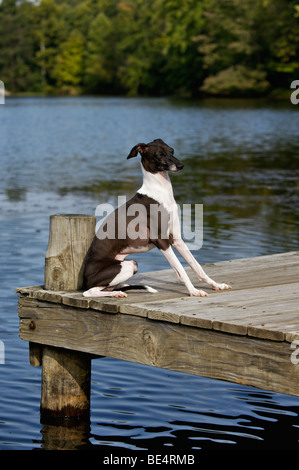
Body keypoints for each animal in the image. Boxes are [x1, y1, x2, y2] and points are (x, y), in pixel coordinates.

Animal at [82, 138, 232, 298]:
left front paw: (216, 284)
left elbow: (196, 265)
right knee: (89, 292)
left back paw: (122, 288)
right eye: (159, 154)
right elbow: (181, 270)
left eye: (172, 150)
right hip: (125, 266)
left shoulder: (176, 238)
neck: (159, 192)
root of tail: (84, 280)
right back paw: (116, 293)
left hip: (130, 264)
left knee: (108, 287)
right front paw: (194, 291)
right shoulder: (161, 241)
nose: (181, 165)